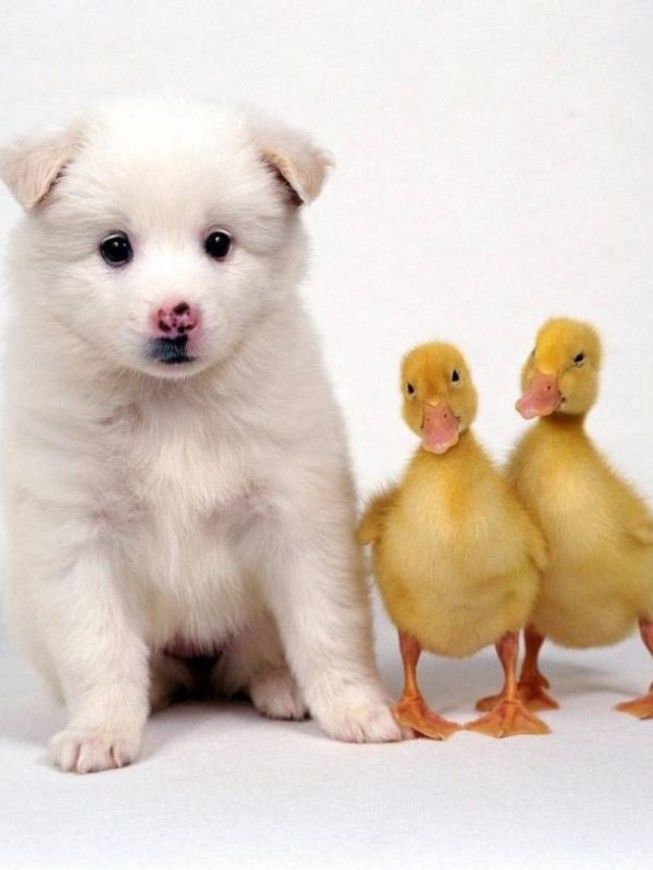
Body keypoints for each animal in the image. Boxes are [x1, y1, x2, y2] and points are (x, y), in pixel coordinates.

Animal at [0, 97, 401, 772]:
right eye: (115, 249)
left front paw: (358, 711)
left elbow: (327, 626)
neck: (173, 403)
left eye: (218, 243)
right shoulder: (77, 535)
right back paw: (158, 689)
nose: (176, 313)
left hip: (252, 628)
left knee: (260, 657)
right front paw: (100, 732)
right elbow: (98, 648)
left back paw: (282, 687)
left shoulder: (298, 516)